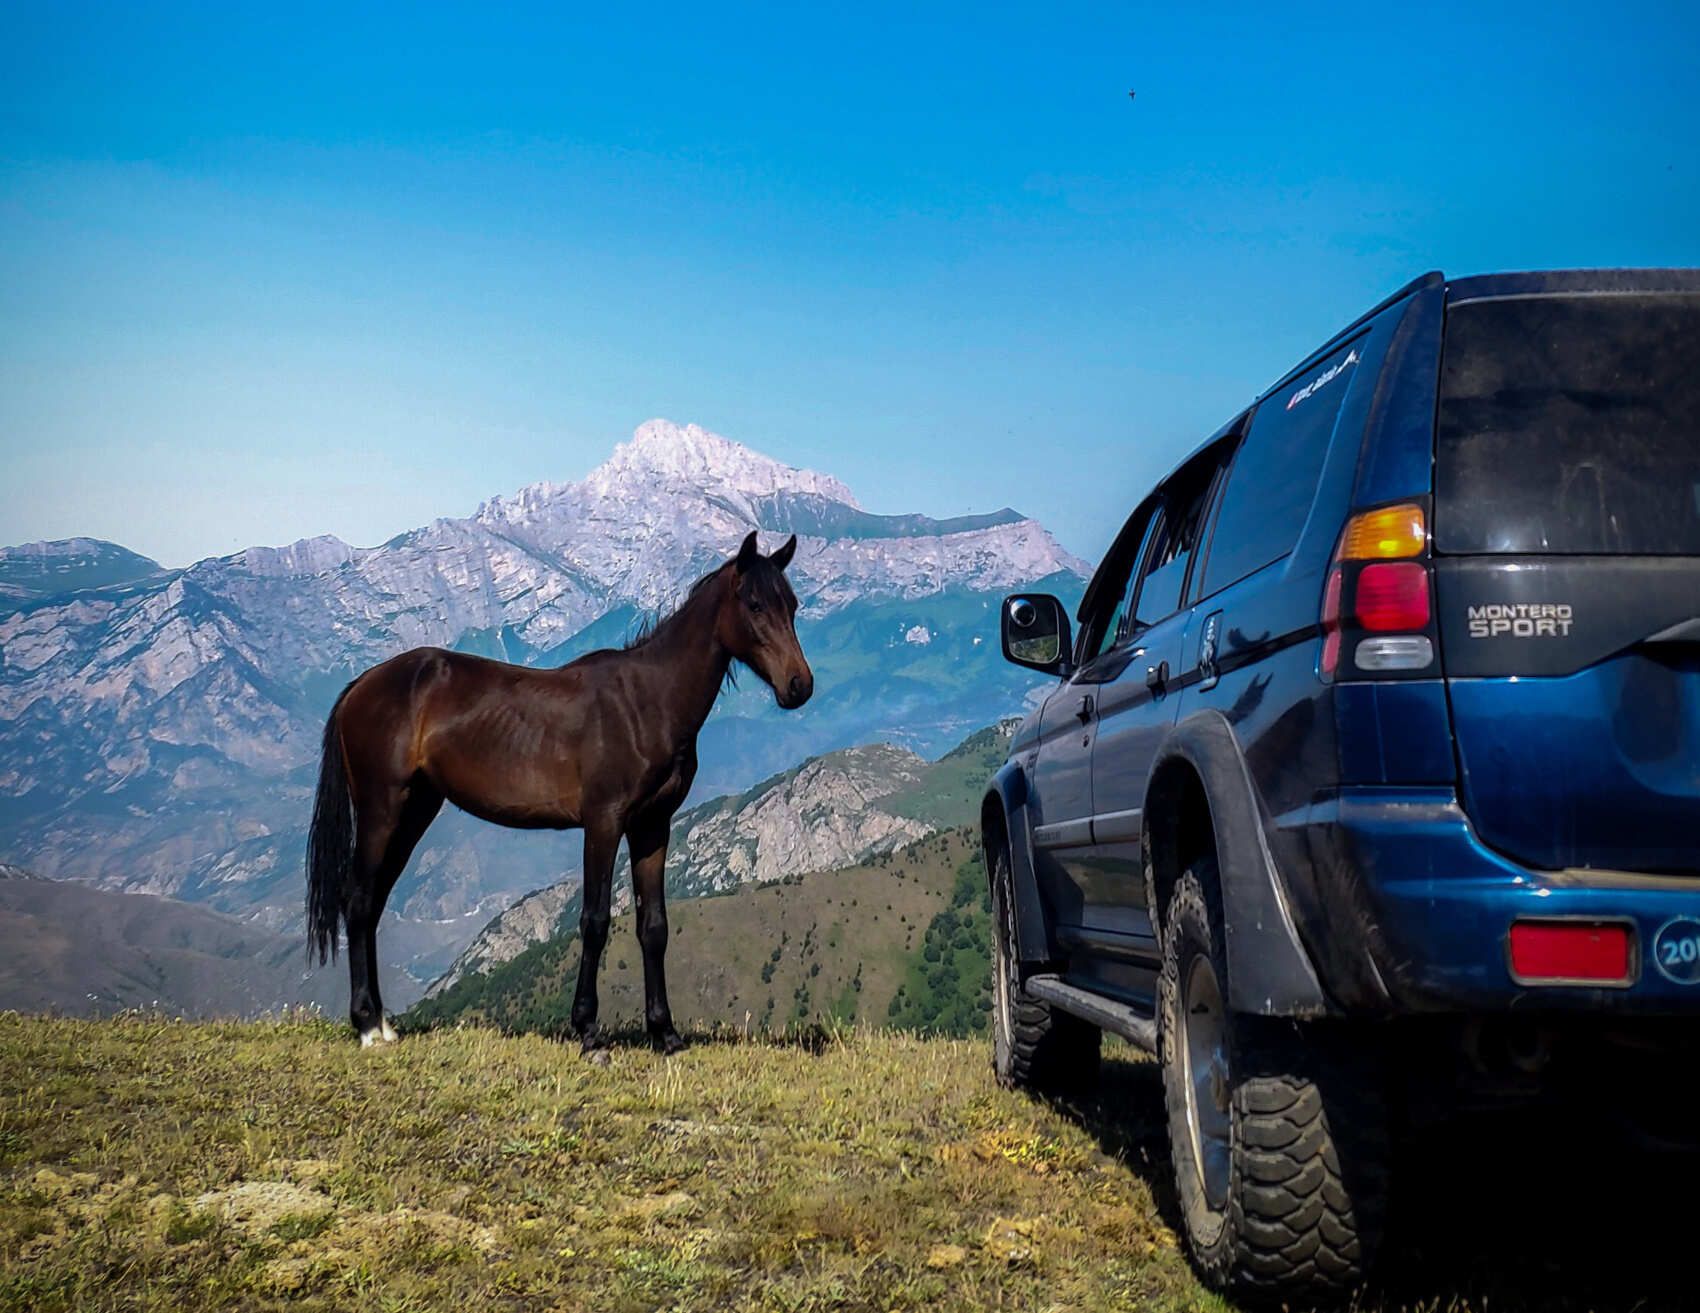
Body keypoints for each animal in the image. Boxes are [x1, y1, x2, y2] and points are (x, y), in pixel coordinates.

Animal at [306, 527, 809, 1054]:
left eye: (792, 604)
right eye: (754, 604)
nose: (800, 685)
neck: (647, 701)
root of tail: (364, 683)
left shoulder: (652, 825)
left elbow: (654, 926)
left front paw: (665, 1033)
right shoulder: (603, 822)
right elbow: (594, 921)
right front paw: (588, 1030)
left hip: (415, 809)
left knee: (375, 902)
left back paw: (383, 1023)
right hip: (381, 808)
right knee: (359, 900)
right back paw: (367, 1025)